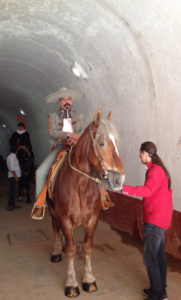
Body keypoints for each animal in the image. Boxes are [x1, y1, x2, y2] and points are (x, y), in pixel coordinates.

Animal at [47, 110, 125, 298]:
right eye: (101, 143)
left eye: (116, 142)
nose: (119, 180)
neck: (80, 185)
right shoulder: (65, 220)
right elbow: (71, 249)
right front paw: (71, 284)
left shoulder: (92, 220)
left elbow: (87, 247)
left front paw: (89, 280)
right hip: (53, 212)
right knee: (55, 229)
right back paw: (56, 250)